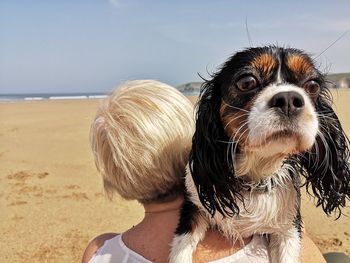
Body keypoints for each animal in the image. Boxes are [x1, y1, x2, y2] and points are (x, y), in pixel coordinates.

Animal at [169, 46, 348, 262]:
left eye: (313, 85)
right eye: (246, 82)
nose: (288, 99)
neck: (255, 175)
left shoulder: (287, 229)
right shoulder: (194, 205)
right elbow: (181, 247)